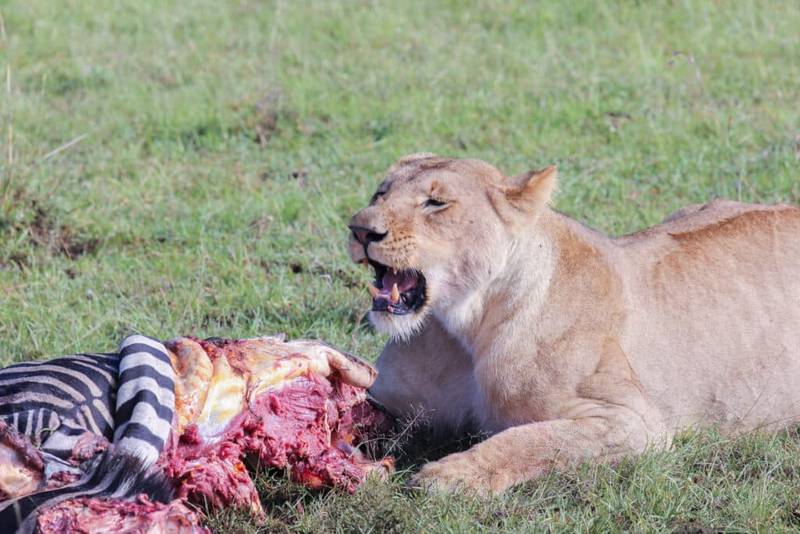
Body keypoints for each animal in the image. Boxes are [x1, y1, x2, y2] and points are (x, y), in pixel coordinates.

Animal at [347, 153, 800, 495]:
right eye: (380, 193)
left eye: (436, 203)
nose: (360, 228)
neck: (465, 327)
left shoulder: (634, 422)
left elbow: (531, 439)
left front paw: (451, 475)